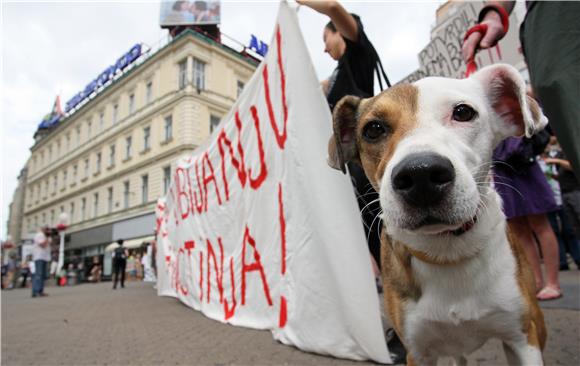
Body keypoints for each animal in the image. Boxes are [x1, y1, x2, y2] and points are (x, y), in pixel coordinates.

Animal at [328, 64, 548, 364]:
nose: (420, 175)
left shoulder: (522, 338)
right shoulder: (418, 351)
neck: (447, 250)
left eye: (463, 112)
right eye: (373, 129)